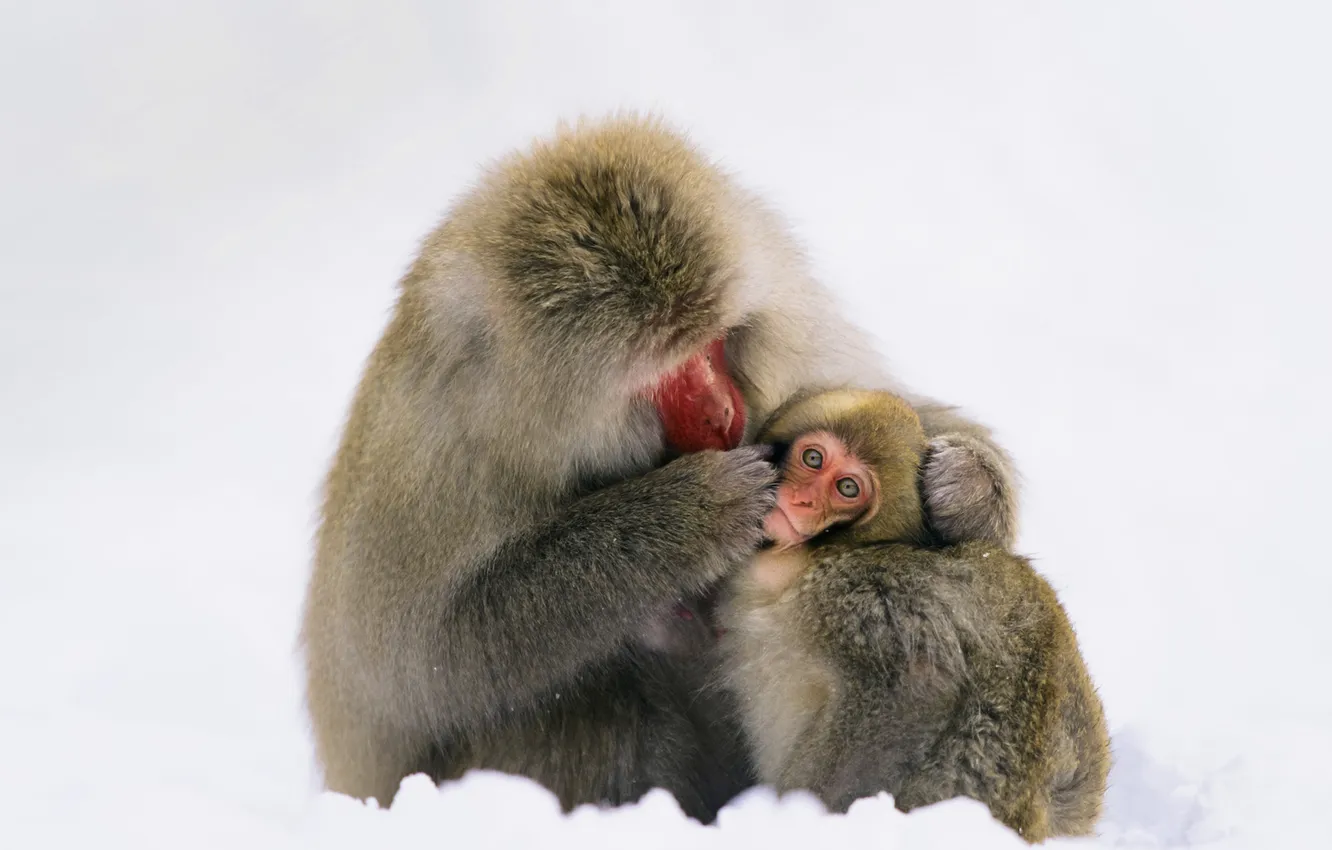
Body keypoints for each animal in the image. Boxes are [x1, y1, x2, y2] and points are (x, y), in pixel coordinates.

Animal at [300, 114, 1022, 822]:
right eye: (663, 373)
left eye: (715, 340)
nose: (723, 411)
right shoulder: (434, 455)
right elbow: (420, 668)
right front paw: (688, 516)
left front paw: (966, 487)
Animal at [718, 389, 1109, 842]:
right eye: (813, 458)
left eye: (847, 487)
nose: (802, 501)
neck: (816, 557)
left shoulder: (863, 596)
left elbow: (915, 686)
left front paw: (802, 816)